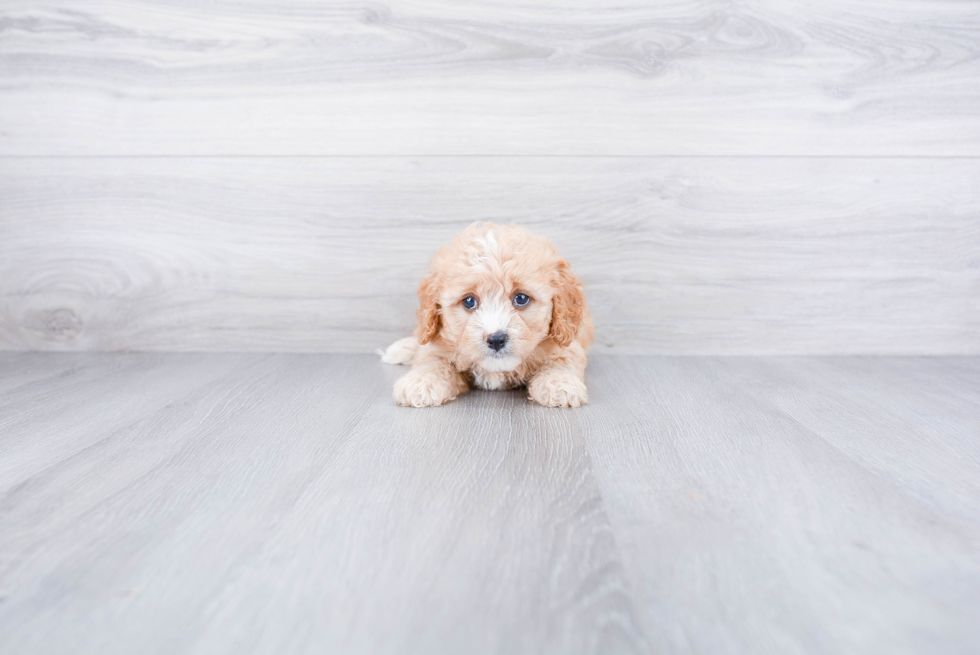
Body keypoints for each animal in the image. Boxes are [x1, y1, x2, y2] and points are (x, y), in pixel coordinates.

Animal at [382, 226, 596, 410]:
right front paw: (421, 382)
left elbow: (562, 361)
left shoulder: (567, 343)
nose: (496, 339)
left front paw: (559, 384)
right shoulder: (439, 343)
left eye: (521, 298)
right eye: (469, 301)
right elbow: (431, 359)